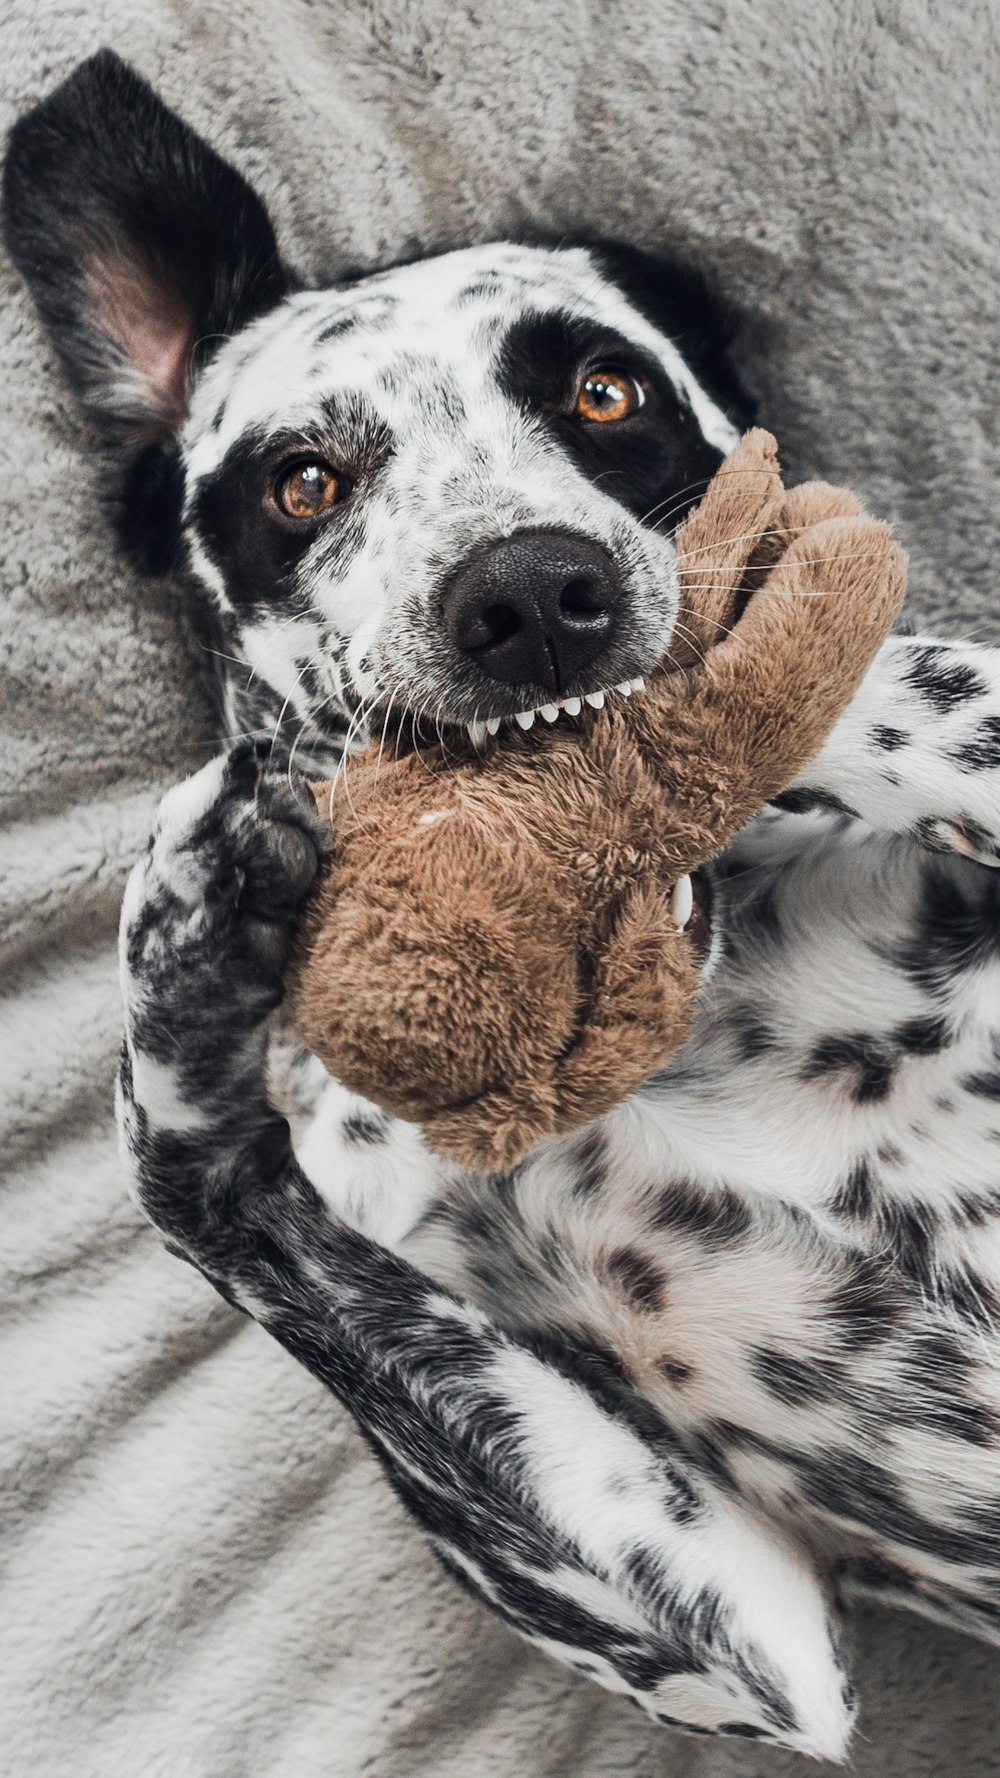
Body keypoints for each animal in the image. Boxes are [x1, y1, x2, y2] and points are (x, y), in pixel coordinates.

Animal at [7, 45, 996, 1763]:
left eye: (604, 393)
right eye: (304, 480)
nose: (532, 591)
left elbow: (905, 676)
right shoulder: (742, 1633)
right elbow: (197, 1174)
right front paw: (186, 938)